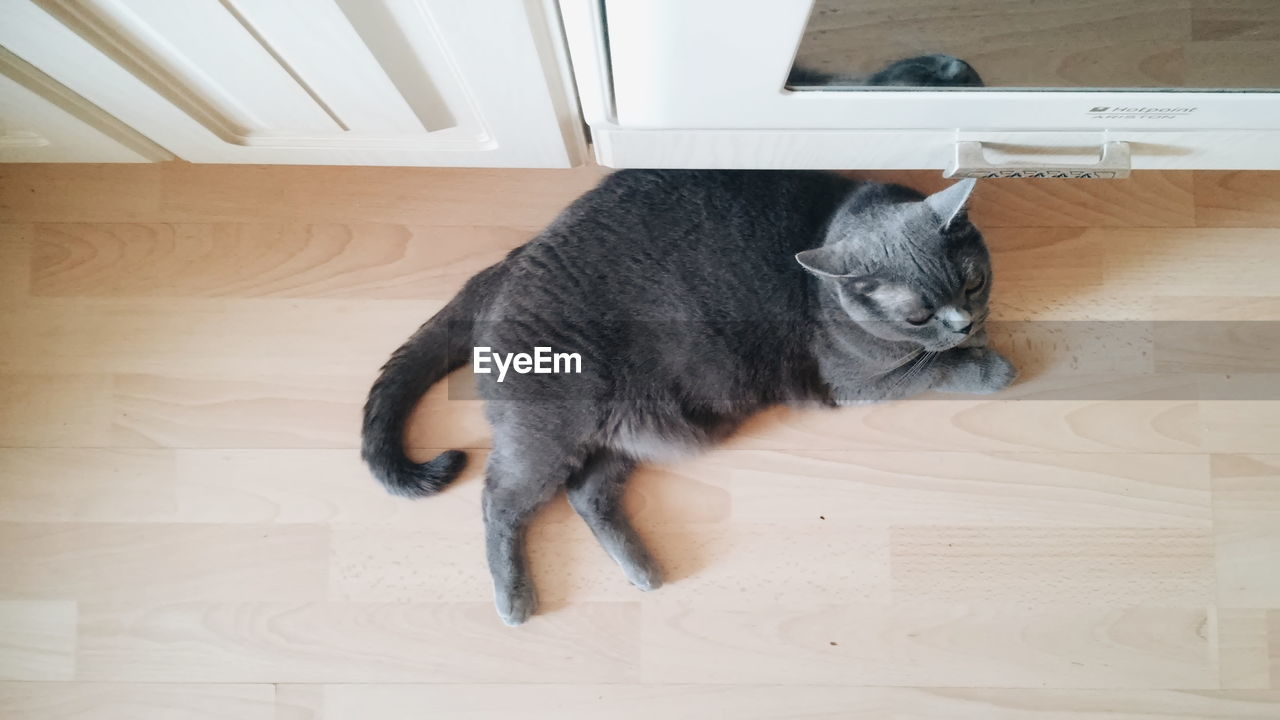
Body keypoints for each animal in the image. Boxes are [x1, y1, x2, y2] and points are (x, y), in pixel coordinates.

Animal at [366, 169, 1013, 622]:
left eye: (974, 281)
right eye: (917, 315)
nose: (965, 322)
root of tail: (505, 264)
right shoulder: (854, 382)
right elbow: (933, 369)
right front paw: (991, 367)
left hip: (630, 428)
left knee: (587, 493)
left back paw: (643, 570)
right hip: (550, 424)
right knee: (499, 496)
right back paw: (515, 599)